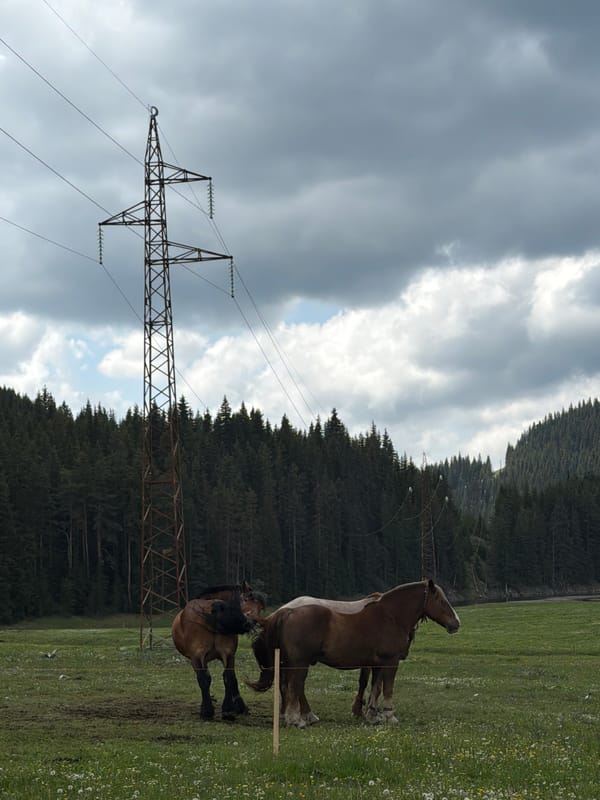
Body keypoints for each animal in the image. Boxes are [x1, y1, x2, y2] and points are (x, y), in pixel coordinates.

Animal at [172, 582, 266, 720]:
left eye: (260, 607)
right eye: (246, 599)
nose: (249, 623)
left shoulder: (199, 659)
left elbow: (206, 678)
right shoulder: (228, 655)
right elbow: (230, 678)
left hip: (198, 657)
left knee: (205, 679)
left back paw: (209, 711)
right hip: (225, 655)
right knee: (227, 677)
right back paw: (226, 711)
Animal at [248, 579, 460, 727]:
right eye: (441, 600)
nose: (456, 624)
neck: (391, 616)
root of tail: (287, 612)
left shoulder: (377, 663)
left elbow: (375, 687)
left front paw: (372, 715)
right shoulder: (390, 662)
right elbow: (387, 688)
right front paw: (389, 716)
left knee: (290, 687)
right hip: (299, 662)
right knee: (294, 686)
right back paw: (297, 719)